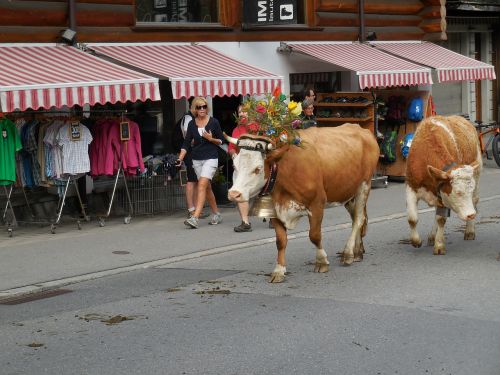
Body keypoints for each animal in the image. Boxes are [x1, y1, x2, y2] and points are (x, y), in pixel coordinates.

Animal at [225, 88, 376, 282]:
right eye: (235, 165)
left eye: (258, 169)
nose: (233, 194)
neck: (284, 169)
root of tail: (360, 129)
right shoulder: (275, 208)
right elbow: (280, 241)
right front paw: (279, 270)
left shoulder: (317, 203)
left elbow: (315, 236)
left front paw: (321, 262)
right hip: (347, 191)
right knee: (358, 218)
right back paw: (358, 251)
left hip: (364, 186)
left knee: (358, 218)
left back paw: (349, 253)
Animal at [404, 114, 482, 256]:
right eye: (458, 192)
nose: (471, 214)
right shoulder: (411, 187)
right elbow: (412, 218)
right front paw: (416, 241)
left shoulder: (442, 195)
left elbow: (441, 219)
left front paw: (439, 245)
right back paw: (432, 236)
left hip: (477, 173)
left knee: (475, 200)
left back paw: (469, 231)